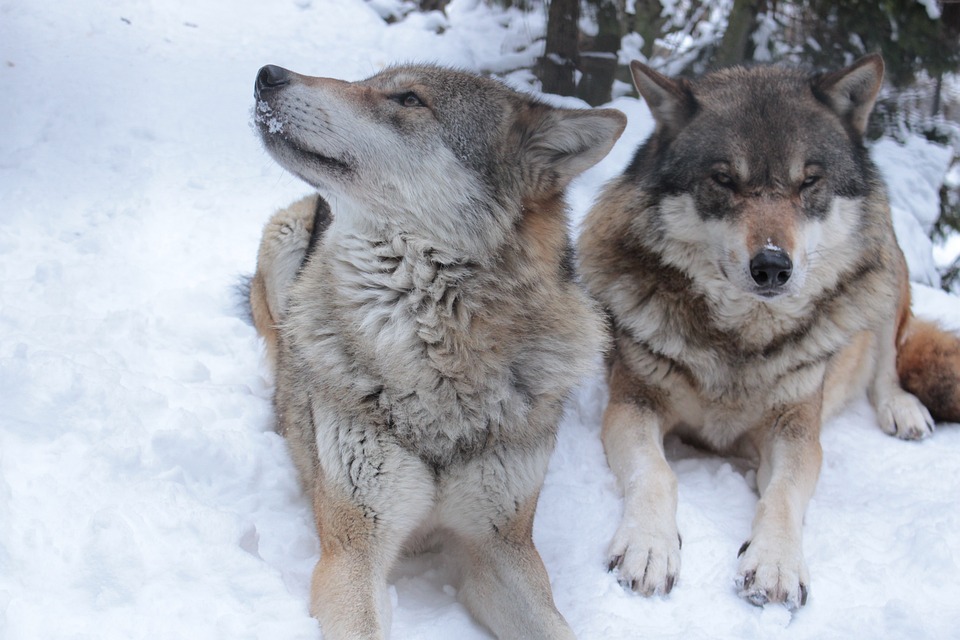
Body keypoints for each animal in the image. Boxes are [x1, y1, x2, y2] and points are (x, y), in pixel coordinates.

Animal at [248, 62, 628, 636]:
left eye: (408, 99)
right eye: (369, 81)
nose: (268, 74)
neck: (437, 361)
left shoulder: (503, 548)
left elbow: (553, 625)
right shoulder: (353, 549)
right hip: (283, 240)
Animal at [576, 55, 960, 608]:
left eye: (808, 182)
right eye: (724, 179)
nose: (773, 266)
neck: (741, 339)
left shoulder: (796, 430)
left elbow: (782, 495)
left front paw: (775, 564)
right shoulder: (633, 405)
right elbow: (657, 474)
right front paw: (648, 548)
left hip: (885, 268)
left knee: (889, 362)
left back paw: (902, 410)